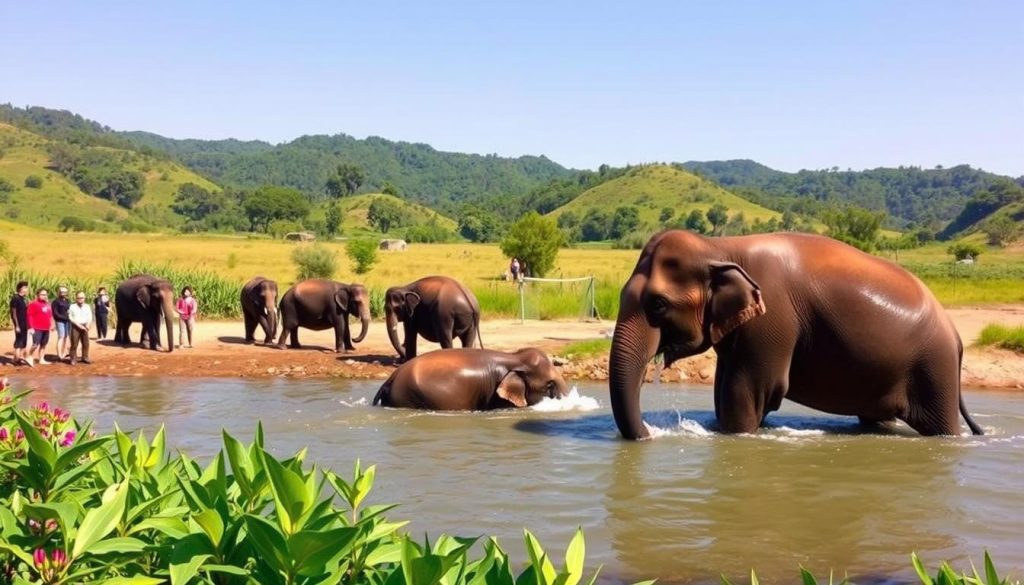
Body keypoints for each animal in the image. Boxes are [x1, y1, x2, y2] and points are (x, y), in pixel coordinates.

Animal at [609, 230, 984, 439]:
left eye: (658, 304)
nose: (649, 434)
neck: (720, 247)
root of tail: (956, 337)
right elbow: (723, 389)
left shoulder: (773, 320)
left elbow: (748, 391)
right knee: (876, 417)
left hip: (934, 369)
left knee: (939, 424)